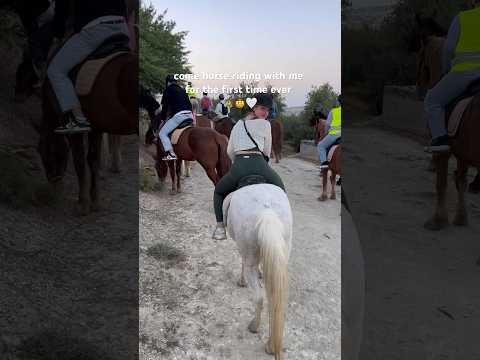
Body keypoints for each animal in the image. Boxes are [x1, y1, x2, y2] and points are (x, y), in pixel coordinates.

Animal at [38, 51, 137, 214]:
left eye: (44, 153)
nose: (53, 190)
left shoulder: (75, 129)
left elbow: (79, 160)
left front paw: (82, 203)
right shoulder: (96, 127)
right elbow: (93, 160)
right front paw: (95, 200)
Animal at [222, 184, 292, 358]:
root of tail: (267, 211)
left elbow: (241, 262)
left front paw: (241, 282)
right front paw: (261, 272)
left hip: (249, 257)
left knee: (259, 297)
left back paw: (254, 327)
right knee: (274, 300)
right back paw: (271, 346)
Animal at [412, 23, 480, 231]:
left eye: (419, 57)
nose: (418, 90)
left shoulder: (443, 152)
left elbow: (441, 184)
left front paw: (438, 220)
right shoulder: (463, 152)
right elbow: (460, 181)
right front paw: (461, 218)